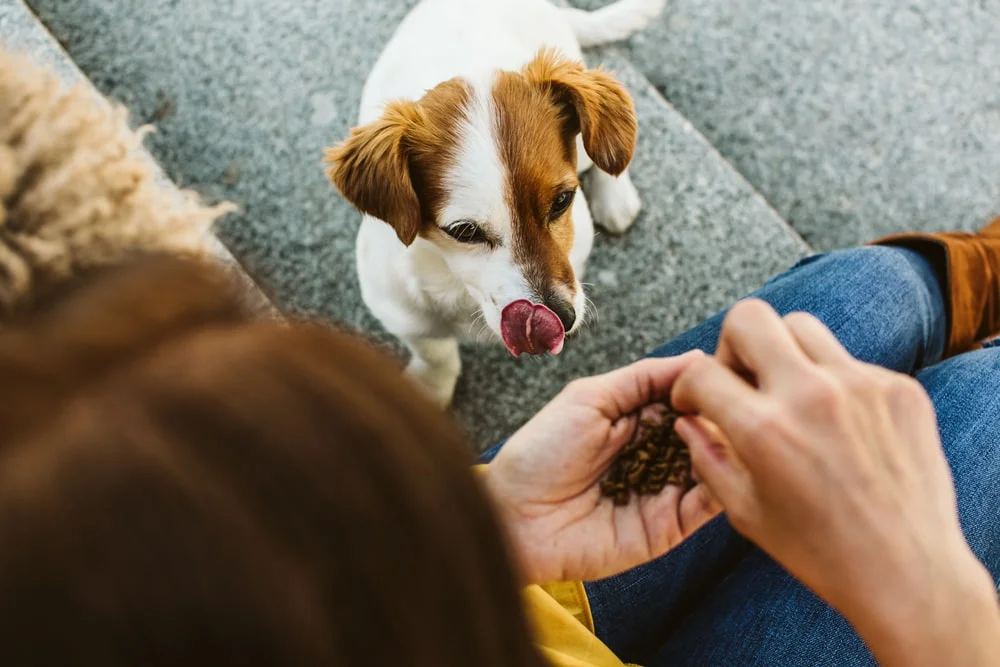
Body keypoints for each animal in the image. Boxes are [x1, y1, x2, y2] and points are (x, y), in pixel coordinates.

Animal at [326, 0, 664, 408]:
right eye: (464, 231)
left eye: (562, 201)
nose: (563, 319)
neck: (455, 286)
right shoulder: (397, 309)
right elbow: (434, 352)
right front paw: (429, 388)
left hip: (585, 143)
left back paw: (616, 196)